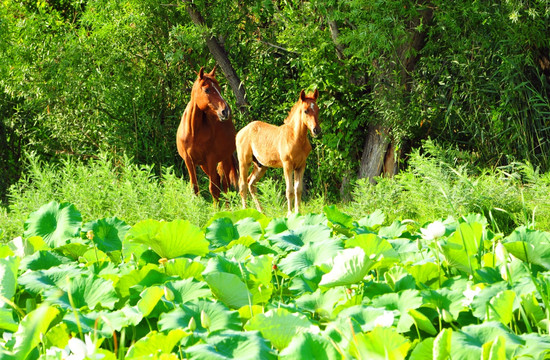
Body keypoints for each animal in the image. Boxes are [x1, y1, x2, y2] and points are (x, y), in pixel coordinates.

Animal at [177, 67, 237, 202]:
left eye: (219, 88)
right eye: (207, 89)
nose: (225, 111)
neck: (193, 132)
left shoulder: (211, 159)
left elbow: (214, 189)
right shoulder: (189, 160)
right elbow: (194, 188)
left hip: (224, 159)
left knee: (225, 185)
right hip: (204, 165)